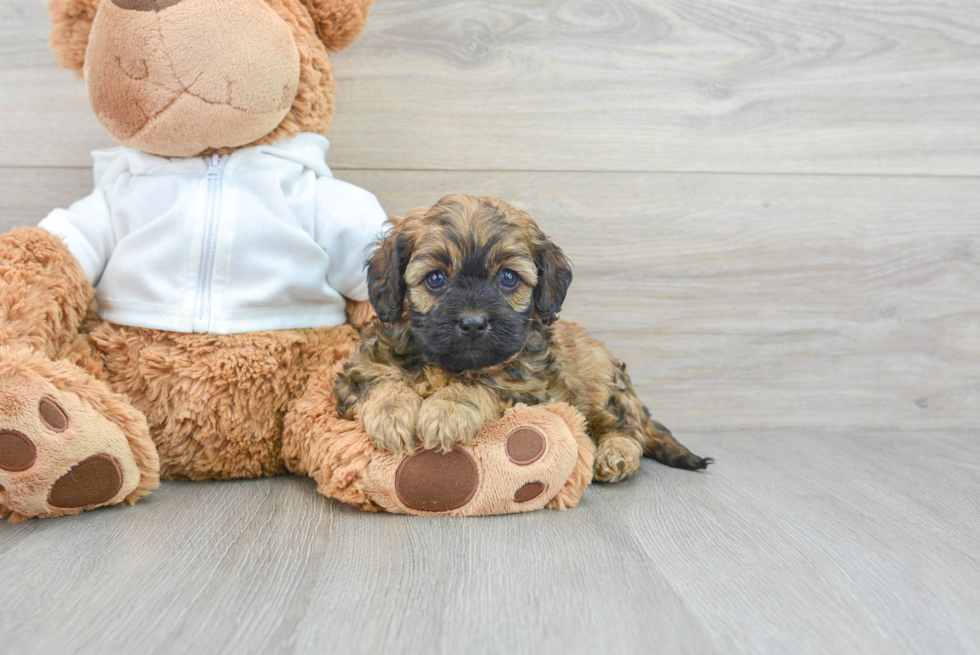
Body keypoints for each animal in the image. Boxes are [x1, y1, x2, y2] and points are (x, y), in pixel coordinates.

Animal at [336, 193, 712, 482]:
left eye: (507, 278)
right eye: (436, 278)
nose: (473, 323)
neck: (450, 366)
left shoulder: (530, 390)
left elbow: (483, 384)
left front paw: (447, 410)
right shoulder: (355, 373)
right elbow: (381, 382)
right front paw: (392, 415)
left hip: (605, 389)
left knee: (627, 431)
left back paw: (615, 455)